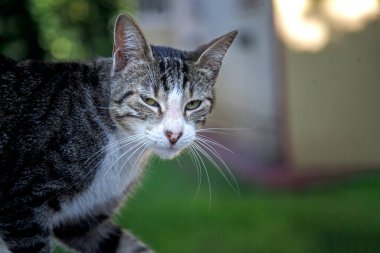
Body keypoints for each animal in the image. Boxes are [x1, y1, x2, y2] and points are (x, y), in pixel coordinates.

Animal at [0, 13, 236, 253]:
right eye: (149, 101)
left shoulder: (82, 222)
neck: (120, 142)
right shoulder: (23, 206)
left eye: (193, 104)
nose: (174, 134)